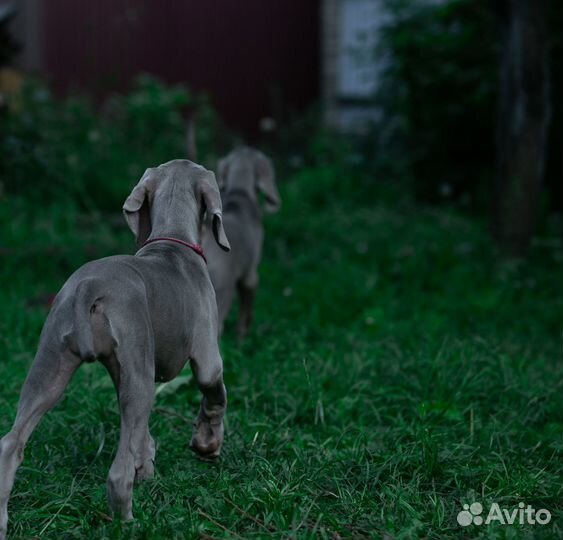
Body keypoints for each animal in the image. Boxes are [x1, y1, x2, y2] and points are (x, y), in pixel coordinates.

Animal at [0, 160, 231, 540]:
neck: (173, 243)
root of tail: (90, 286)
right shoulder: (206, 356)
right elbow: (215, 395)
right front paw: (207, 443)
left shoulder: (124, 368)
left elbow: (140, 434)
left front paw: (147, 465)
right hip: (136, 377)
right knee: (116, 474)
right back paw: (131, 524)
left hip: (49, 367)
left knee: (10, 444)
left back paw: (3, 522)